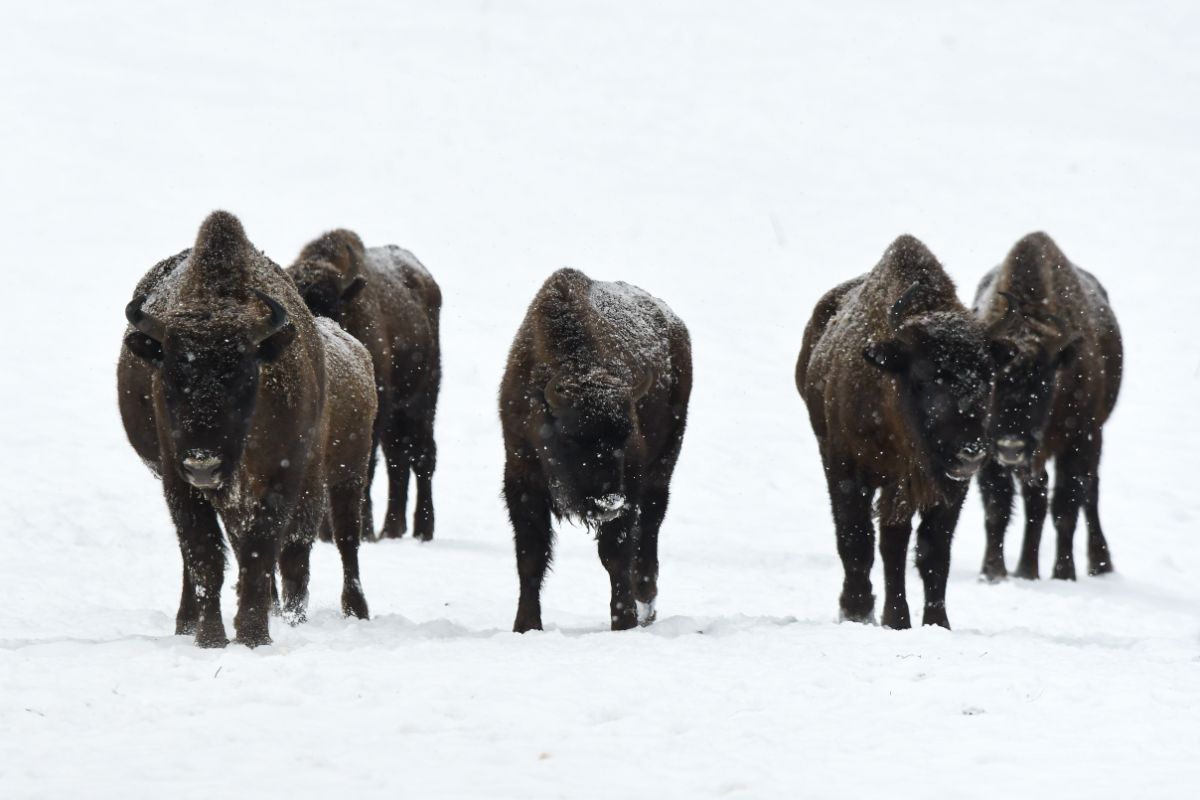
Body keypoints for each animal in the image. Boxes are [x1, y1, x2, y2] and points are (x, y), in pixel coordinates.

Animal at [115, 211, 374, 642]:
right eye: (168, 379)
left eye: (243, 378)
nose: (203, 464)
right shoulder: (179, 482)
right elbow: (205, 558)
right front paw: (211, 638)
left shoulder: (283, 477)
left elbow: (261, 551)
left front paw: (254, 635)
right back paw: (187, 623)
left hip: (344, 476)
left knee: (340, 540)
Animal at [285, 231, 441, 544]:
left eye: (334, 308)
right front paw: (326, 533)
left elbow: (364, 469)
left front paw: (363, 530)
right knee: (398, 459)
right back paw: (392, 529)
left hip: (422, 398)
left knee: (422, 455)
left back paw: (422, 530)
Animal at [499, 272, 696, 633]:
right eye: (570, 438)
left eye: (625, 435)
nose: (608, 503)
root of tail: (676, 325)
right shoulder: (521, 479)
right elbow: (530, 556)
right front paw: (526, 625)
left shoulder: (630, 483)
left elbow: (615, 554)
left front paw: (624, 621)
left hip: (663, 467)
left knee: (650, 528)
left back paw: (646, 601)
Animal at [796, 235, 1012, 628]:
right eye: (925, 378)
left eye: (988, 376)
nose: (970, 450)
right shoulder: (852, 470)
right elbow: (863, 541)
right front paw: (872, 613)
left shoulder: (946, 488)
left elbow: (933, 551)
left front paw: (937, 623)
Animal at [974, 231, 1123, 582]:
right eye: (993, 380)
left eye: (1043, 384)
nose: (1011, 447)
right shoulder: (987, 447)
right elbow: (997, 509)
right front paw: (993, 573)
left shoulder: (1078, 440)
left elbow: (1065, 506)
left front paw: (1063, 574)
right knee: (1037, 499)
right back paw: (1025, 570)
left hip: (1090, 439)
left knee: (1087, 494)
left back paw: (1099, 564)